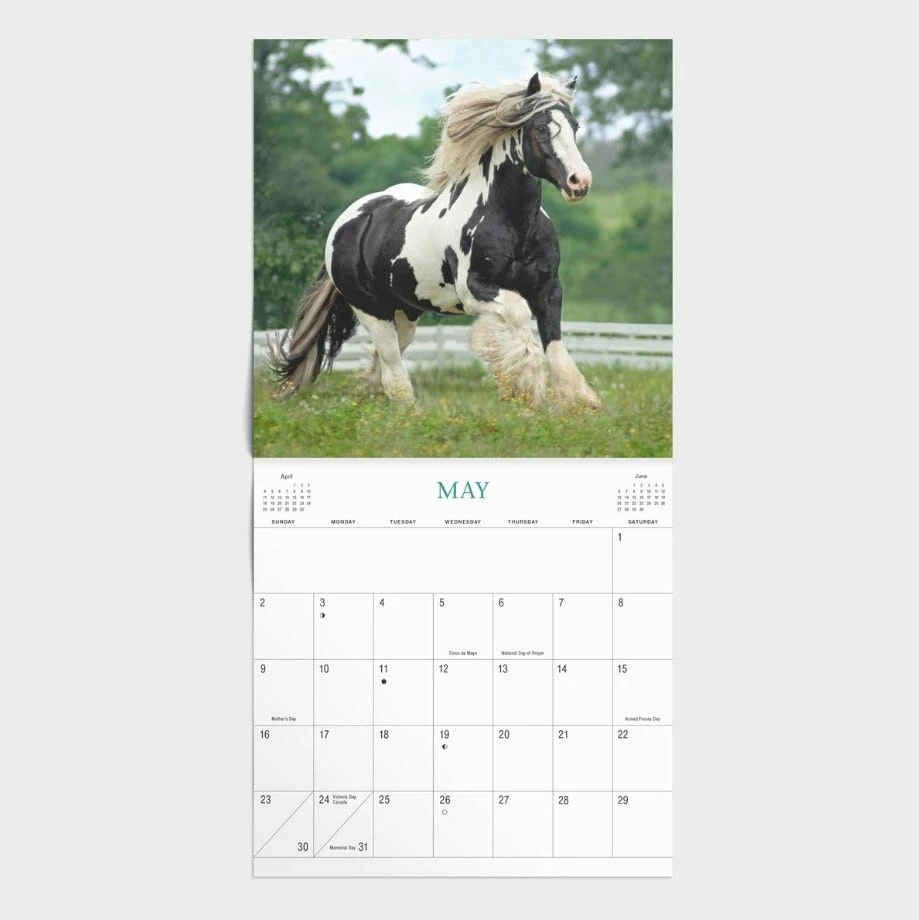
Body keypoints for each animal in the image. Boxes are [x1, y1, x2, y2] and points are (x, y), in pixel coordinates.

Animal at [269, 72, 601, 410]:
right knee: (392, 367)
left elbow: (555, 341)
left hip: (404, 314)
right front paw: (526, 389)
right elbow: (518, 314)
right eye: (540, 128)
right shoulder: (474, 289)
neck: (512, 222)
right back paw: (409, 413)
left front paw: (581, 403)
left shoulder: (548, 288)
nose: (579, 181)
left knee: (382, 366)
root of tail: (345, 224)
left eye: (575, 126)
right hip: (372, 312)